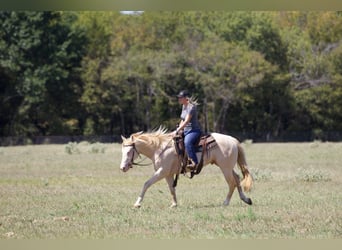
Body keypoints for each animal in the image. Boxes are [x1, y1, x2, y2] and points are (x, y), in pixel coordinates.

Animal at [119, 128, 252, 208]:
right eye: (122, 151)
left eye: (129, 151)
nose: (122, 168)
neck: (160, 148)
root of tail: (233, 140)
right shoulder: (168, 174)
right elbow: (172, 189)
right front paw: (174, 204)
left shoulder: (162, 172)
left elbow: (146, 184)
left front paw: (137, 204)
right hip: (227, 167)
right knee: (237, 178)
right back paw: (245, 199)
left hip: (225, 168)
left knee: (232, 183)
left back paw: (226, 202)